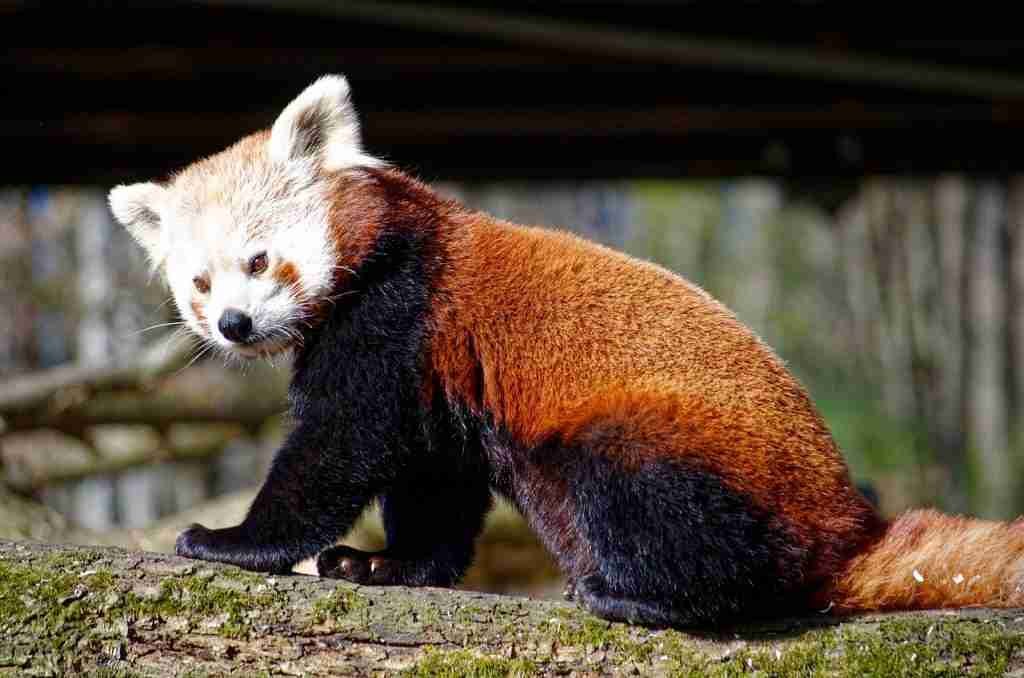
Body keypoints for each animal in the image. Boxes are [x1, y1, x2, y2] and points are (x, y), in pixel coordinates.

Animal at [108, 74, 1024, 626]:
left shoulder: (396, 316)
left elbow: (338, 447)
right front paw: (387, 565)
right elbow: (432, 483)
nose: (232, 324)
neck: (392, 246)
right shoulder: (440, 382)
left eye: (259, 261)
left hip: (674, 449)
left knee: (657, 504)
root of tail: (851, 526)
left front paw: (233, 541)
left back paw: (637, 596)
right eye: (198, 285)